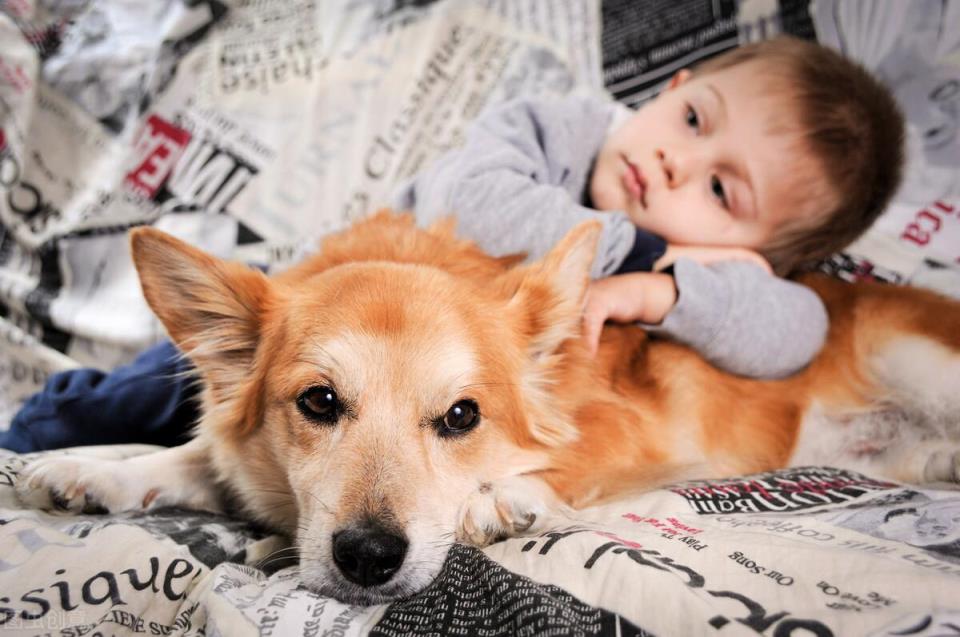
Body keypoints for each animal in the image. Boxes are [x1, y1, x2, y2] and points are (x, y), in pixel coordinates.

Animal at [15, 211, 960, 604]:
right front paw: (86, 470)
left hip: (916, 355)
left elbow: (563, 462)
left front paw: (502, 498)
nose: (367, 559)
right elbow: (190, 460)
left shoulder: (636, 432)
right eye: (319, 401)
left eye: (462, 417)